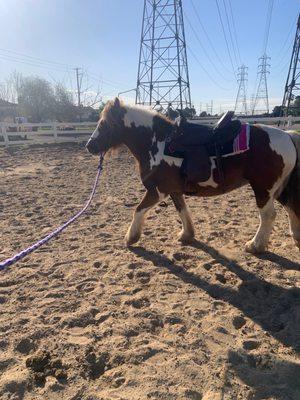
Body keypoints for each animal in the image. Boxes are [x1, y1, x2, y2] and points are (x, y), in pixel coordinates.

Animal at [85, 97, 300, 253]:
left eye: (104, 123)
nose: (89, 146)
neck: (157, 142)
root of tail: (287, 135)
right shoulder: (174, 191)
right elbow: (182, 210)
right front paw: (187, 234)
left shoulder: (158, 191)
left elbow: (138, 210)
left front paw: (131, 237)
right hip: (279, 189)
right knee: (290, 208)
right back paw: (295, 237)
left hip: (263, 189)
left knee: (268, 216)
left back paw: (255, 245)